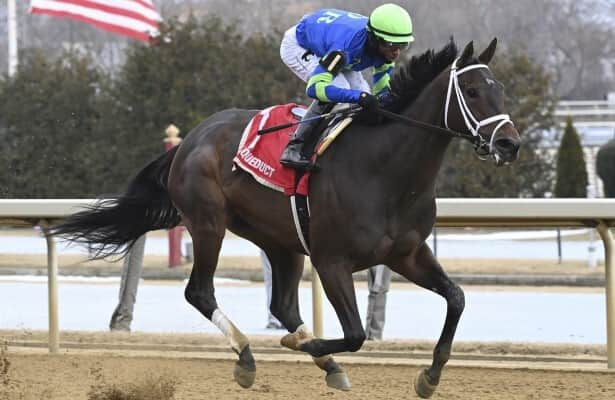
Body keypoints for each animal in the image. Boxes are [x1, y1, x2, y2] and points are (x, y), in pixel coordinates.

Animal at [55, 39, 524, 398]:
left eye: (500, 89)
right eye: (472, 91)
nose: (510, 144)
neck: (386, 171)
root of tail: (190, 139)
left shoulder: (406, 253)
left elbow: (456, 298)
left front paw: (429, 376)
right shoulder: (331, 260)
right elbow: (356, 333)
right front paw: (310, 345)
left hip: (279, 240)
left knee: (280, 303)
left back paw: (325, 362)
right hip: (208, 223)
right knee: (200, 292)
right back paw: (248, 357)